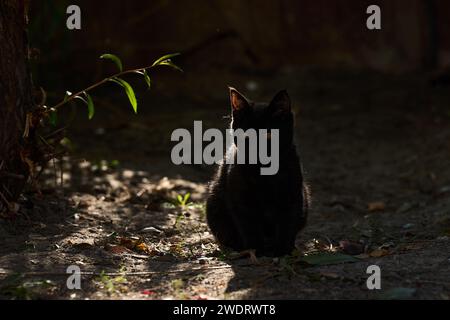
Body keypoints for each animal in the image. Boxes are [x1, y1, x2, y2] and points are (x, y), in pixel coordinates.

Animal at [207, 87, 310, 258]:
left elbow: (287, 225)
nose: (256, 150)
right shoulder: (241, 201)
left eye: (268, 135)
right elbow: (250, 228)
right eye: (246, 135)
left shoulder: (292, 196)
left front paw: (283, 251)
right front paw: (256, 251)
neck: (263, 172)